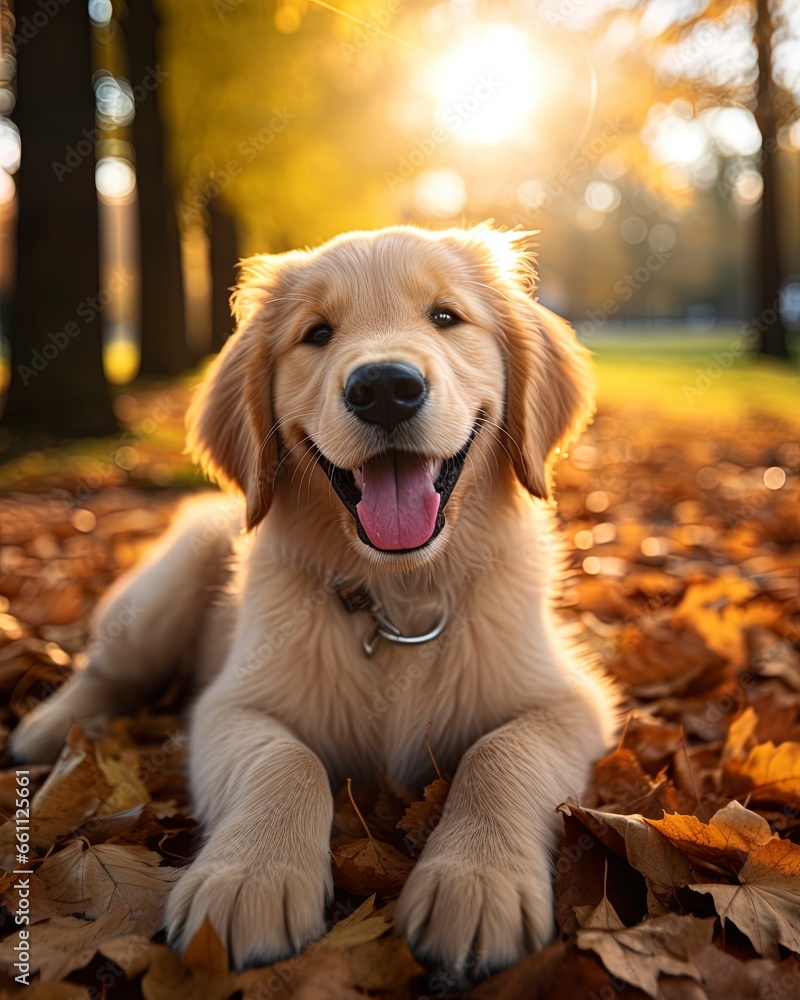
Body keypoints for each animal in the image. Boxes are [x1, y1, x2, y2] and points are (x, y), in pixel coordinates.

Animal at [12, 225, 620, 976]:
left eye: (445, 317)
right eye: (317, 333)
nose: (384, 387)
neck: (398, 602)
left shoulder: (571, 701)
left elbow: (502, 754)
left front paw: (477, 881)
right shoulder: (230, 704)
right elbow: (286, 761)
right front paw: (251, 877)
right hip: (167, 587)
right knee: (106, 672)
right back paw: (47, 731)